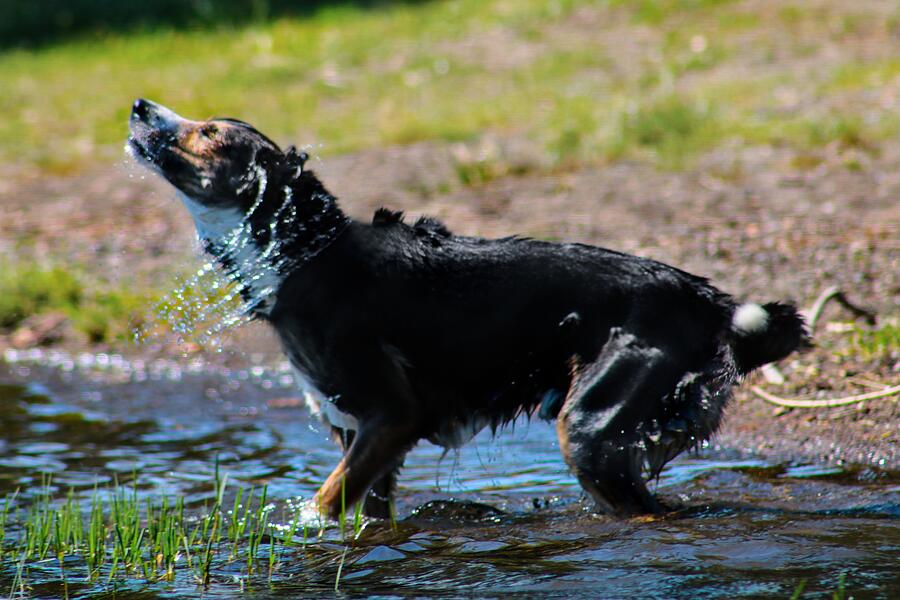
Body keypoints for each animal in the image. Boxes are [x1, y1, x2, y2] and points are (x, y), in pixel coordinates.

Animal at [126, 99, 808, 520]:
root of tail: (710, 299)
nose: (138, 106)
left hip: (592, 423)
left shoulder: (391, 415)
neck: (306, 254)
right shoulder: (366, 438)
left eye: (210, 133)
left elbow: (319, 506)